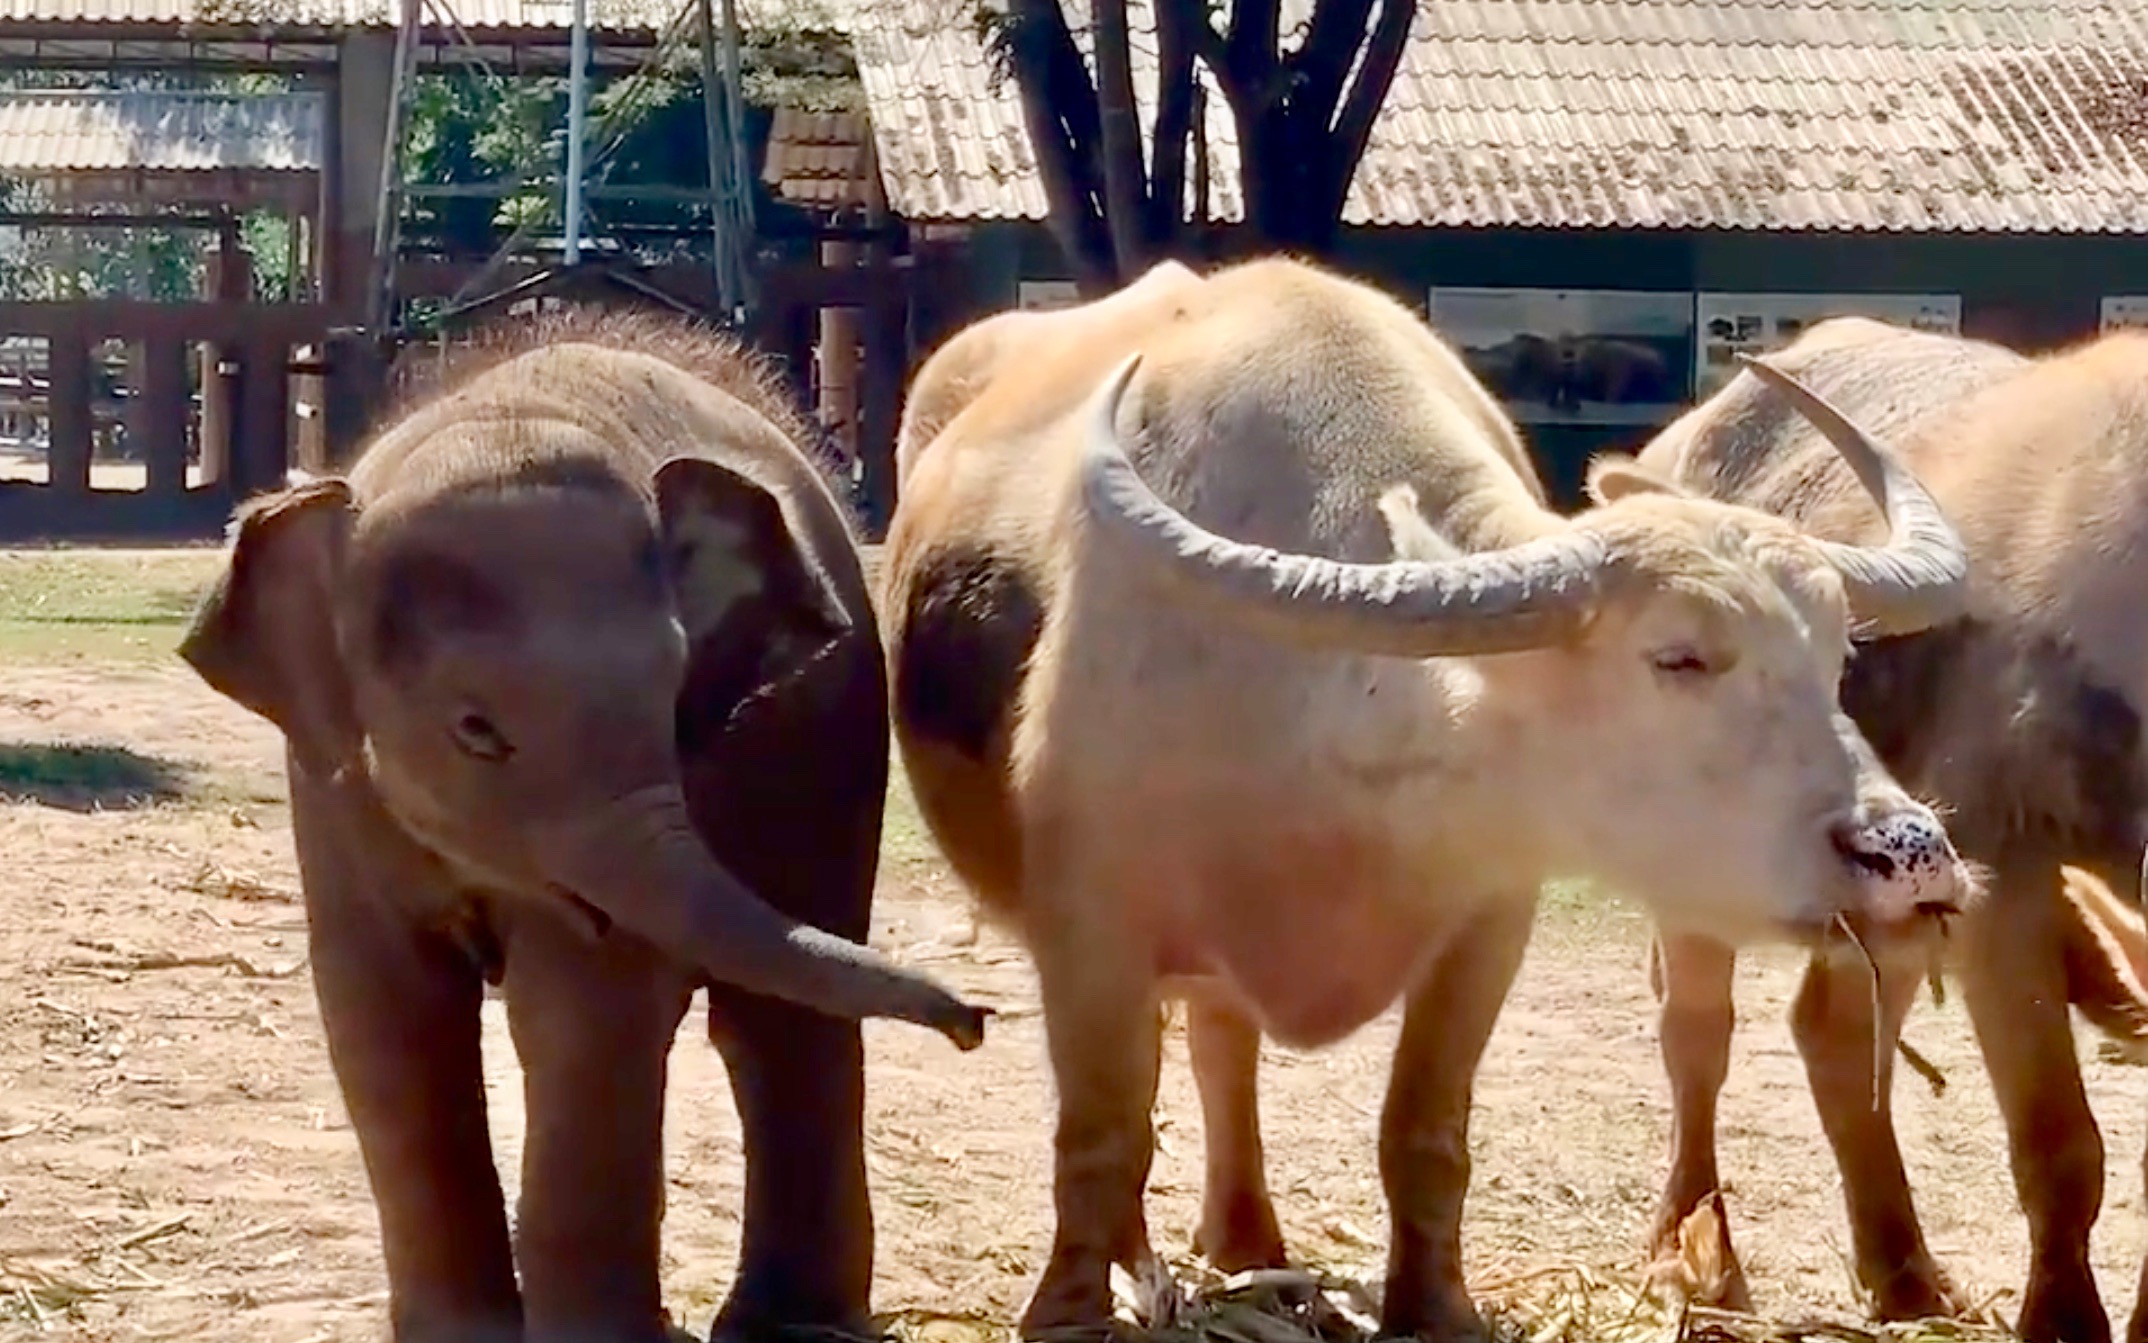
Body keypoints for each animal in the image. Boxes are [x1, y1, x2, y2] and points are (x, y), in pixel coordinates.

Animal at [178, 309, 991, 1343]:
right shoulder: (327, 786)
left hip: (837, 734)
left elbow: (583, 1012)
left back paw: (792, 1324)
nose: (975, 1021)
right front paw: (462, 1338)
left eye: (674, 697)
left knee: (780, 1011)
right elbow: (383, 1005)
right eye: (476, 729)